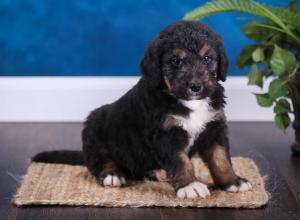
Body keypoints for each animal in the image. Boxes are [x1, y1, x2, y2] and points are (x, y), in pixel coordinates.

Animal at [34, 21, 252, 199]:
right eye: (176, 61)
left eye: (207, 58)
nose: (196, 86)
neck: (188, 102)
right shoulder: (165, 134)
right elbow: (181, 161)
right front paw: (190, 186)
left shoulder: (213, 127)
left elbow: (220, 158)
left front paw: (233, 182)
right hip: (94, 130)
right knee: (100, 160)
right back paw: (112, 174)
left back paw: (158, 173)